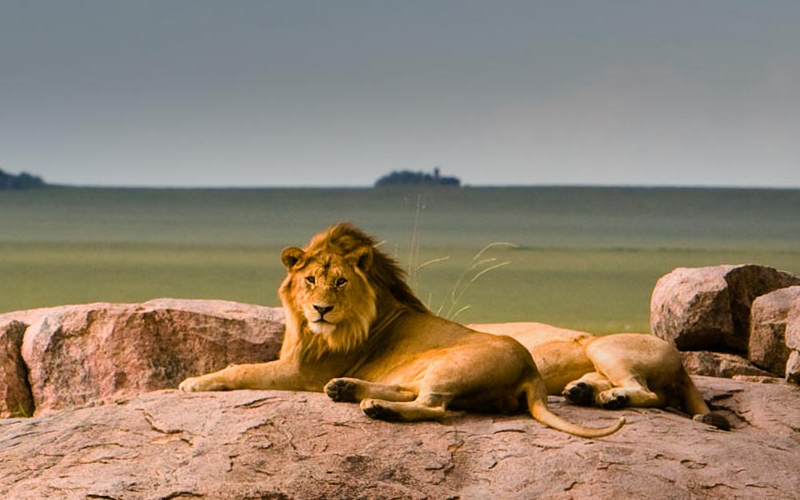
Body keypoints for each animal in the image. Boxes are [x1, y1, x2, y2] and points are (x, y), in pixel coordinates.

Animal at [180, 223, 624, 438]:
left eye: (340, 282)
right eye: (310, 280)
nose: (322, 309)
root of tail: (532, 372)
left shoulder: (301, 372)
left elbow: (242, 368)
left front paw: (193, 382)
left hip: (452, 365)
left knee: (433, 406)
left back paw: (377, 408)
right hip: (430, 367)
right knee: (411, 391)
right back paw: (347, 389)